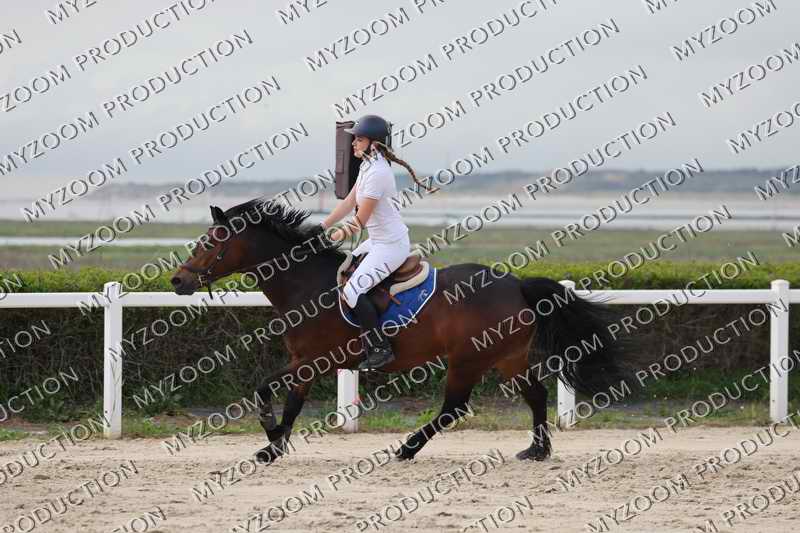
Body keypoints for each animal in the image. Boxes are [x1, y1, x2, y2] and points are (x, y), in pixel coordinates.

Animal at [170, 198, 623, 463]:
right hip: (506, 357)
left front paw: (270, 436)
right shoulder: (305, 363)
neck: (305, 285)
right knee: (536, 395)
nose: (178, 280)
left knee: (454, 408)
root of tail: (515, 284)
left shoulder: (312, 361)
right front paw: (274, 443)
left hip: (468, 359)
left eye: (210, 242)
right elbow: (288, 402)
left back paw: (407, 448)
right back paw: (537, 450)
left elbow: (269, 391)